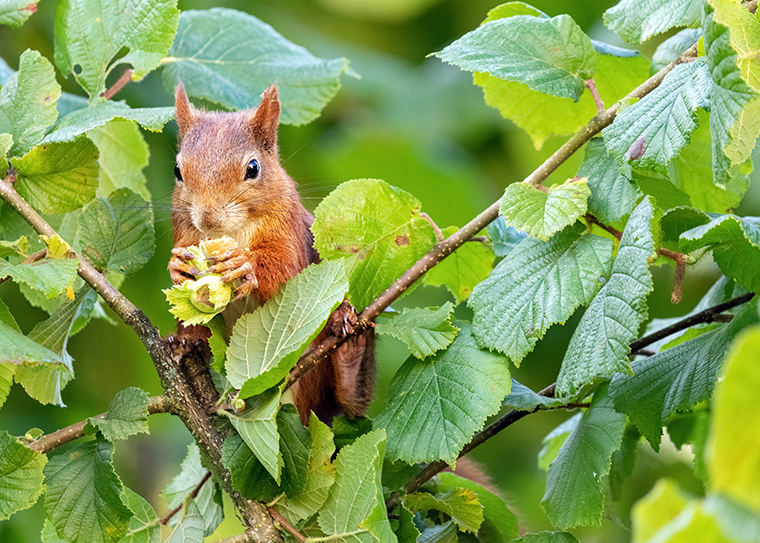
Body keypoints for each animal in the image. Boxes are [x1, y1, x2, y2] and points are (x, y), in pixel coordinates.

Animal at [171, 84, 376, 424]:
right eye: (177, 170)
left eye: (253, 168)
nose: (208, 218)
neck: (233, 233)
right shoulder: (184, 232)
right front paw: (176, 267)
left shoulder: (288, 232)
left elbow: (285, 270)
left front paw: (244, 265)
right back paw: (187, 342)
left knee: (350, 403)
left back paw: (350, 344)